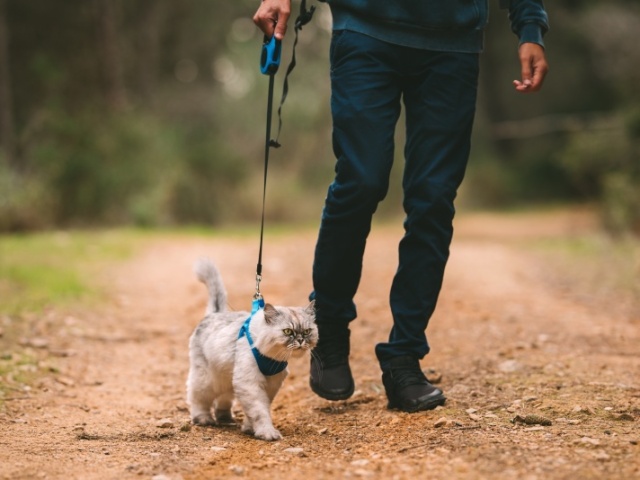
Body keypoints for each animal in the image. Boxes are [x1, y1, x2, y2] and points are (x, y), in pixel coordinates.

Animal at [185, 256, 318, 440]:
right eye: (288, 331)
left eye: (306, 331)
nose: (300, 340)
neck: (272, 358)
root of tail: (215, 313)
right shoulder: (250, 384)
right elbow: (259, 411)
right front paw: (266, 432)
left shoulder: (269, 384)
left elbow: (257, 410)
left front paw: (249, 428)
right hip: (207, 379)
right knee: (198, 398)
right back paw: (204, 419)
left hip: (227, 378)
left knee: (223, 400)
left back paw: (225, 418)